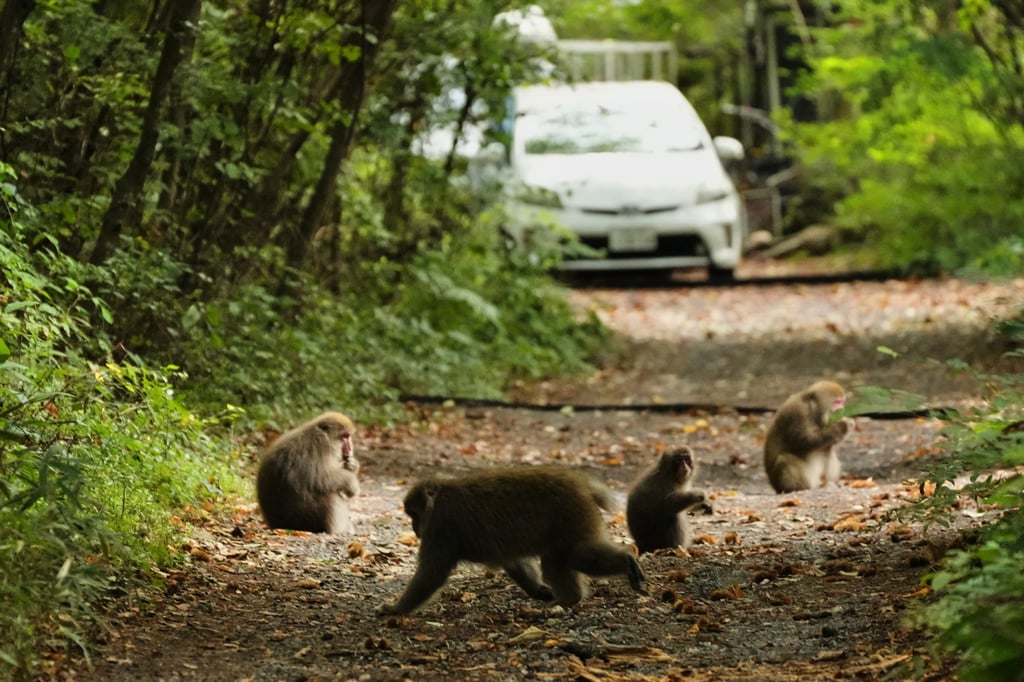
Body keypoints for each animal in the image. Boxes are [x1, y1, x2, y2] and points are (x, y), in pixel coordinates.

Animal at [379, 466, 646, 615]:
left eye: (414, 515)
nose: (415, 529)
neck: (440, 497)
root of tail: (581, 483)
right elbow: (512, 561)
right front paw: (539, 591)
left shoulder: (441, 526)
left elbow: (432, 572)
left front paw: (396, 610)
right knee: (558, 560)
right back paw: (572, 597)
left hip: (572, 514)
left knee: (573, 553)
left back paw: (623, 562)